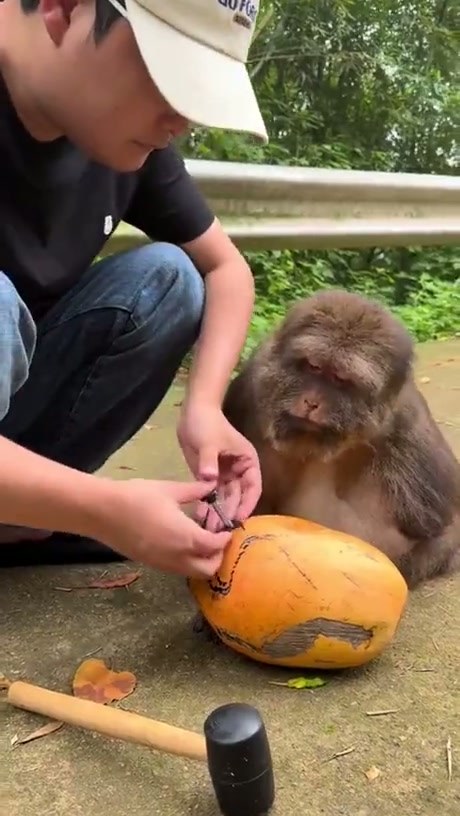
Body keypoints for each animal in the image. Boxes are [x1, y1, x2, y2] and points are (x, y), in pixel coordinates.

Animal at [221, 288, 460, 589]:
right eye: (313, 366)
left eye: (340, 380)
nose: (311, 402)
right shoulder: (251, 385)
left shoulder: (408, 425)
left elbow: (441, 525)